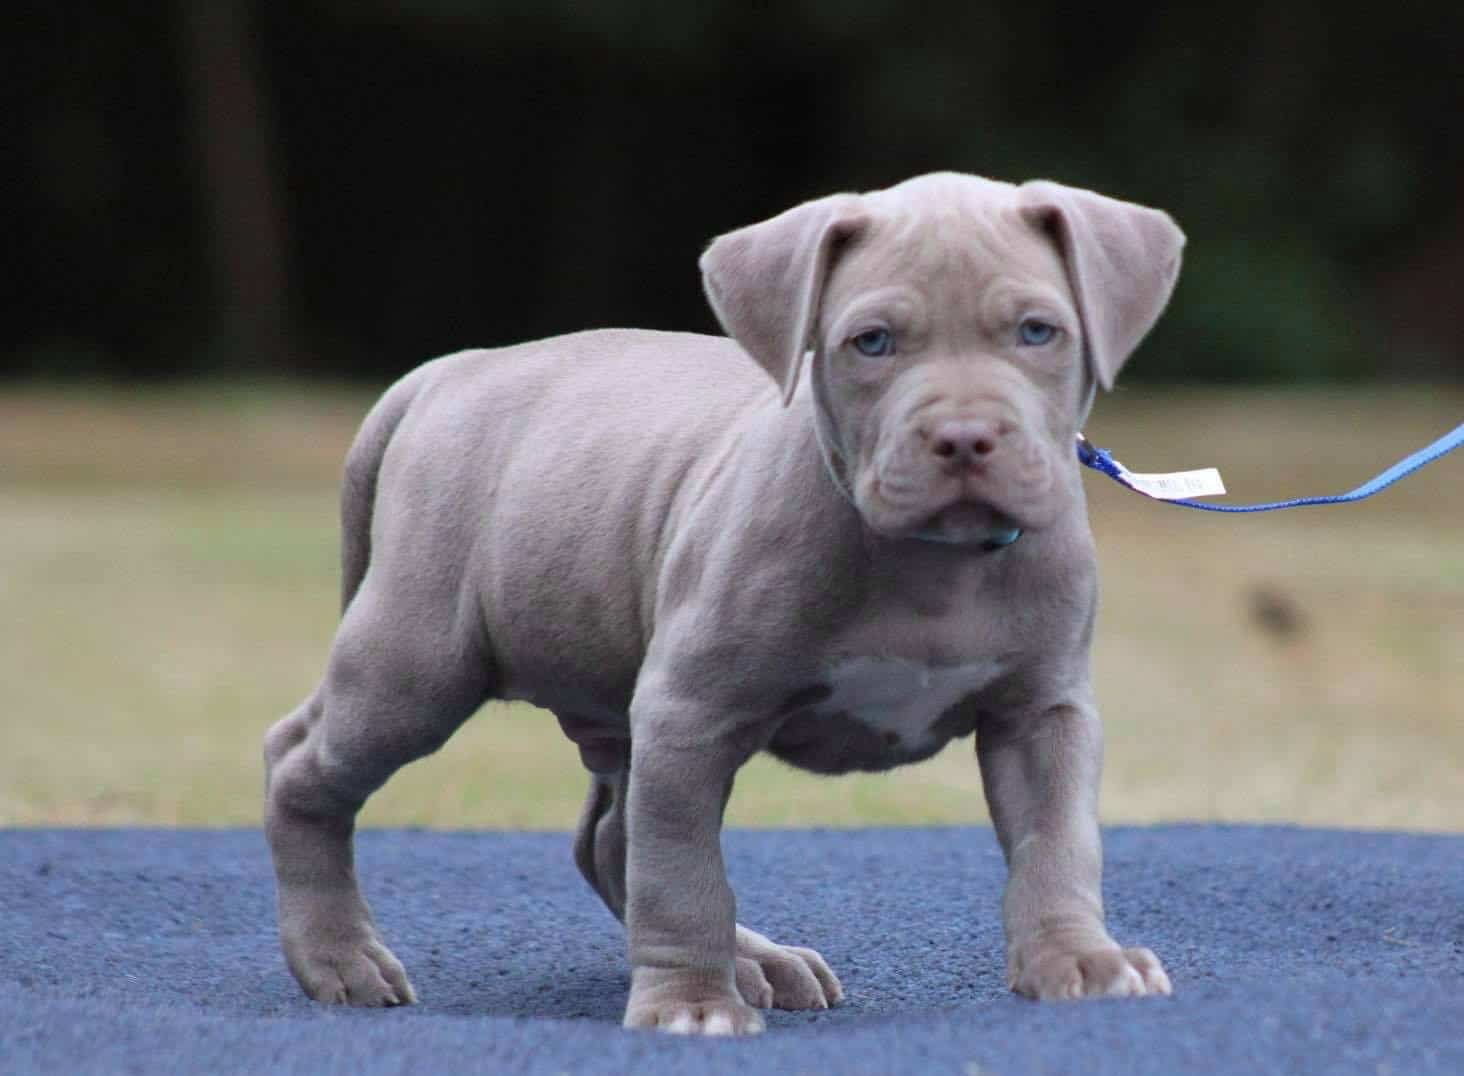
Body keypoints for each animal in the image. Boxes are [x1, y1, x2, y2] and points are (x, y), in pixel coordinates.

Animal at [260, 174, 1177, 1036]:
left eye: (1038, 332)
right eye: (872, 343)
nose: (963, 438)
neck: (933, 564)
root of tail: (449, 371)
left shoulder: (1041, 714)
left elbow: (1057, 842)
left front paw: (1079, 960)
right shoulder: (690, 712)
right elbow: (686, 874)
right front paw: (692, 1005)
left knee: (613, 840)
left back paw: (759, 960)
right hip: (416, 664)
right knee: (300, 765)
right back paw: (338, 957)